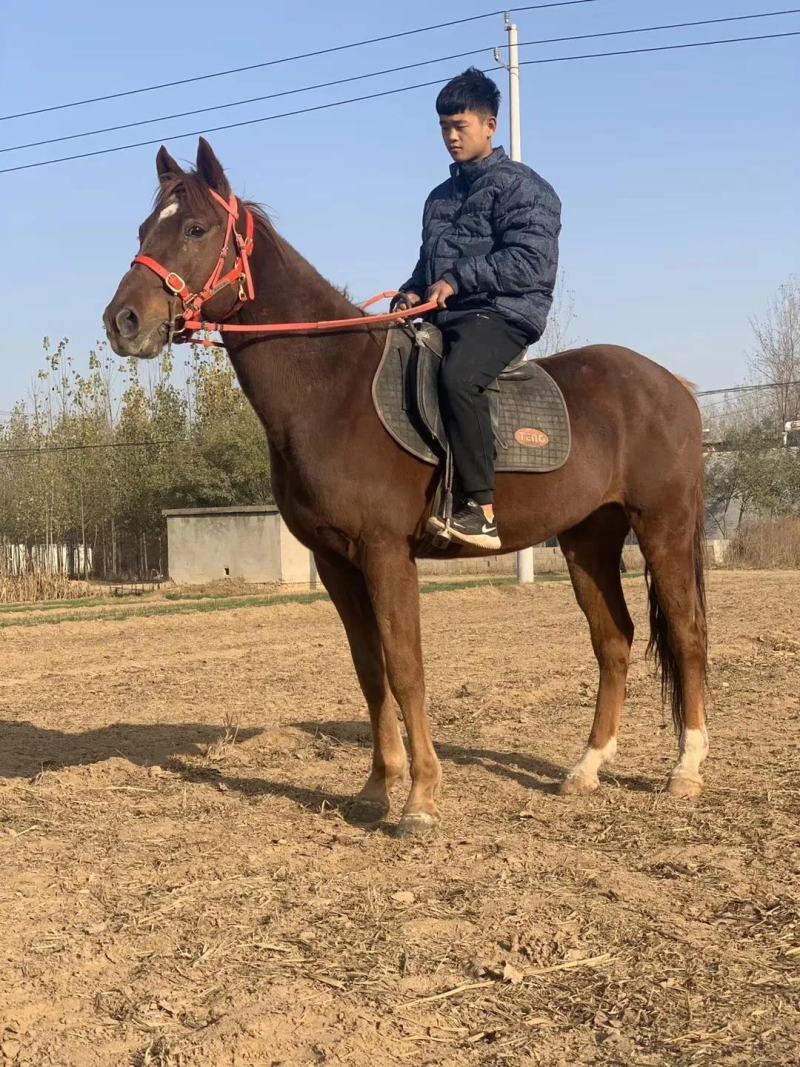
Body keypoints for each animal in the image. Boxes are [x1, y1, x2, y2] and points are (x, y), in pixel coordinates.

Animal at [103, 138, 708, 837]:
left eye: (197, 230)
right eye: (143, 230)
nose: (122, 321)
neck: (333, 388)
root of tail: (671, 385)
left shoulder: (386, 553)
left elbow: (405, 666)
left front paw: (420, 799)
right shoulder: (335, 560)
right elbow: (370, 671)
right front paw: (376, 788)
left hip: (662, 528)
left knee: (687, 635)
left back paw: (686, 771)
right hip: (589, 540)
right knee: (614, 642)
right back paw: (585, 769)